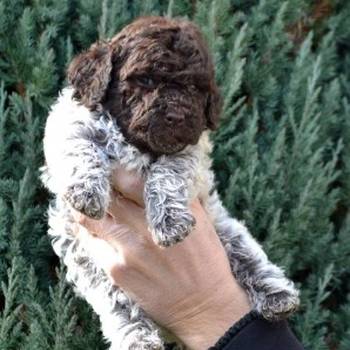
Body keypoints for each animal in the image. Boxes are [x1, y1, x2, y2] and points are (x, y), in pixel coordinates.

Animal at [40, 16, 298, 350]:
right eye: (146, 80)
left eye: (194, 88)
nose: (176, 115)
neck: (137, 145)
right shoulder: (69, 124)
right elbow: (79, 146)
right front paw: (86, 191)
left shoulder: (190, 151)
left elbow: (168, 173)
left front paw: (170, 223)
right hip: (93, 268)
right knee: (119, 305)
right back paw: (138, 339)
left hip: (223, 226)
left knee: (247, 253)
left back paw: (277, 294)